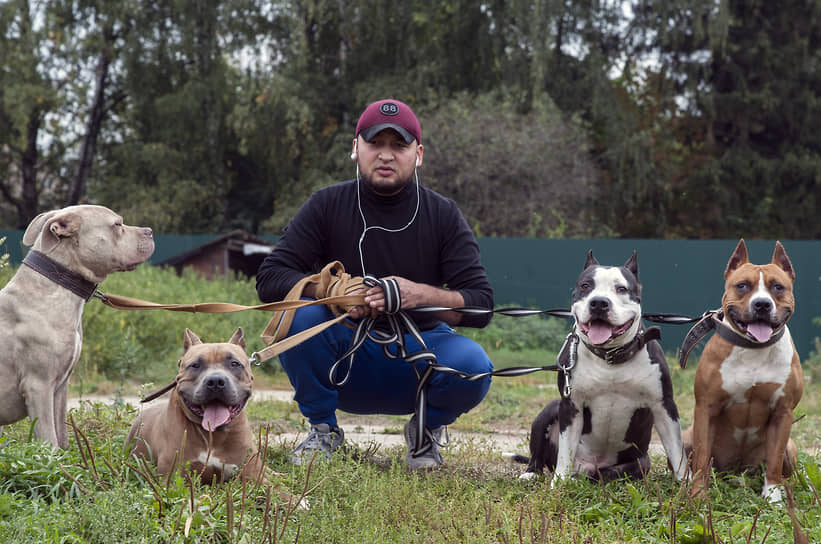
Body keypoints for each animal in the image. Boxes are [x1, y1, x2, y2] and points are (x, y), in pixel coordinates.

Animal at [516, 253, 688, 482]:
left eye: (621, 289)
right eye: (586, 285)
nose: (598, 302)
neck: (609, 358)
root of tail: (587, 467)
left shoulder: (663, 405)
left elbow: (677, 452)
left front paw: (688, 485)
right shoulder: (571, 405)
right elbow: (565, 452)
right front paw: (559, 483)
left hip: (640, 462)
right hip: (550, 410)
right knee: (539, 454)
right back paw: (533, 473)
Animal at [684, 240, 804, 504]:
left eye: (778, 287)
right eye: (742, 286)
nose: (762, 304)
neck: (753, 349)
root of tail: (737, 472)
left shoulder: (783, 412)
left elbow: (774, 461)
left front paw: (773, 497)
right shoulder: (706, 408)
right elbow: (701, 458)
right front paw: (698, 495)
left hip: (791, 446)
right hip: (686, 436)